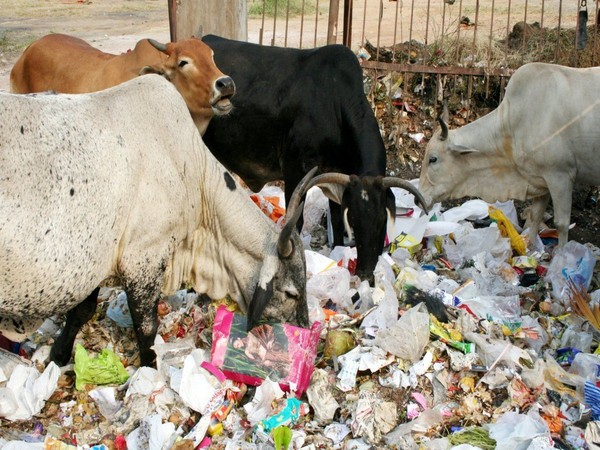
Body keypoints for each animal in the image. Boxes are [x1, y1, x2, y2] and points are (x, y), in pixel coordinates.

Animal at [1, 75, 314, 368]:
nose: (303, 331)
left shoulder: (97, 263)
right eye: (291, 293)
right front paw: (149, 368)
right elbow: (147, 328)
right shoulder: (143, 259)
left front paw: (58, 356)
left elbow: (81, 312)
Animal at [418, 61, 600, 246]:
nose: (418, 199)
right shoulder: (541, 179)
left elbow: (561, 224)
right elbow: (535, 216)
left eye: (433, 159)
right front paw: (531, 249)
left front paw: (562, 253)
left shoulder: (561, 176)